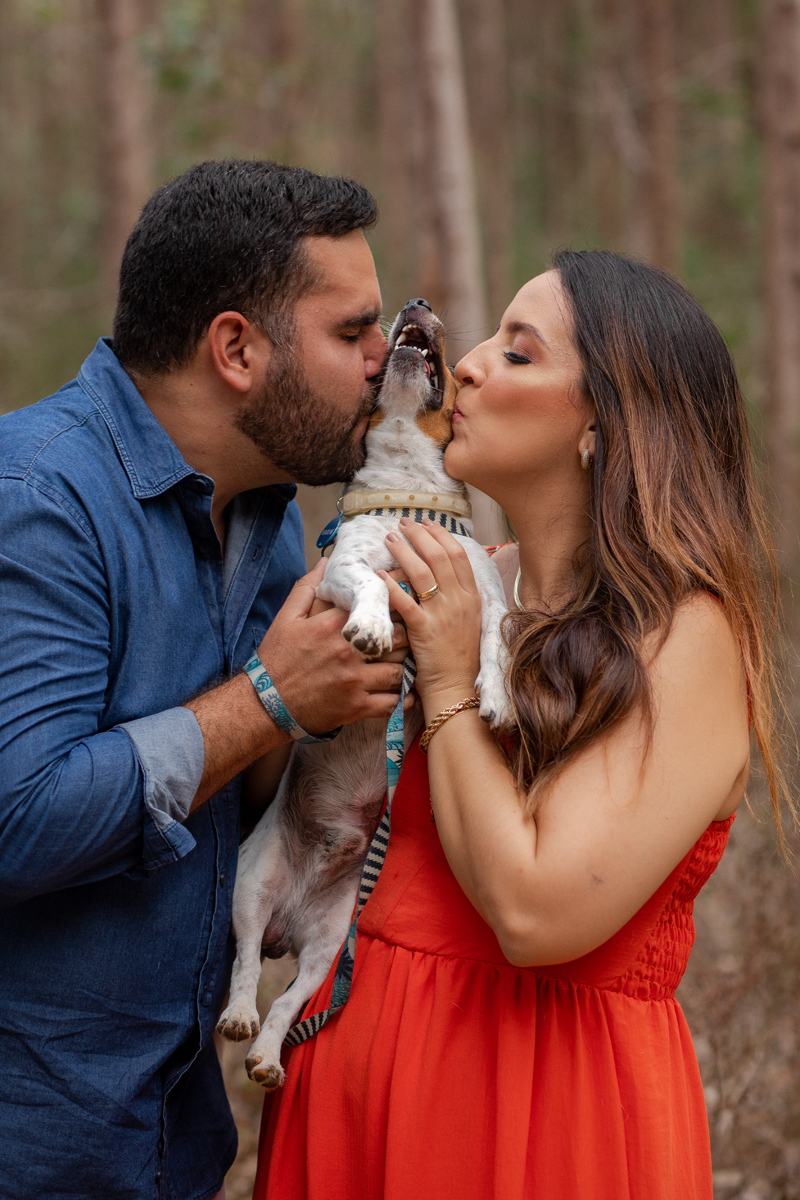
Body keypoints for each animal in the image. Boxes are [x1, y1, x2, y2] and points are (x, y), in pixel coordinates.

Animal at [216, 299, 512, 1089]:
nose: (417, 305)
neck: (410, 497)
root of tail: (292, 916)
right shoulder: (338, 576)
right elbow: (373, 582)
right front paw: (377, 626)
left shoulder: (485, 595)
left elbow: (499, 637)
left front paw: (499, 697)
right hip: (250, 886)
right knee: (246, 965)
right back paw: (239, 1018)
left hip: (329, 939)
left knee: (291, 1002)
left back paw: (266, 1057)